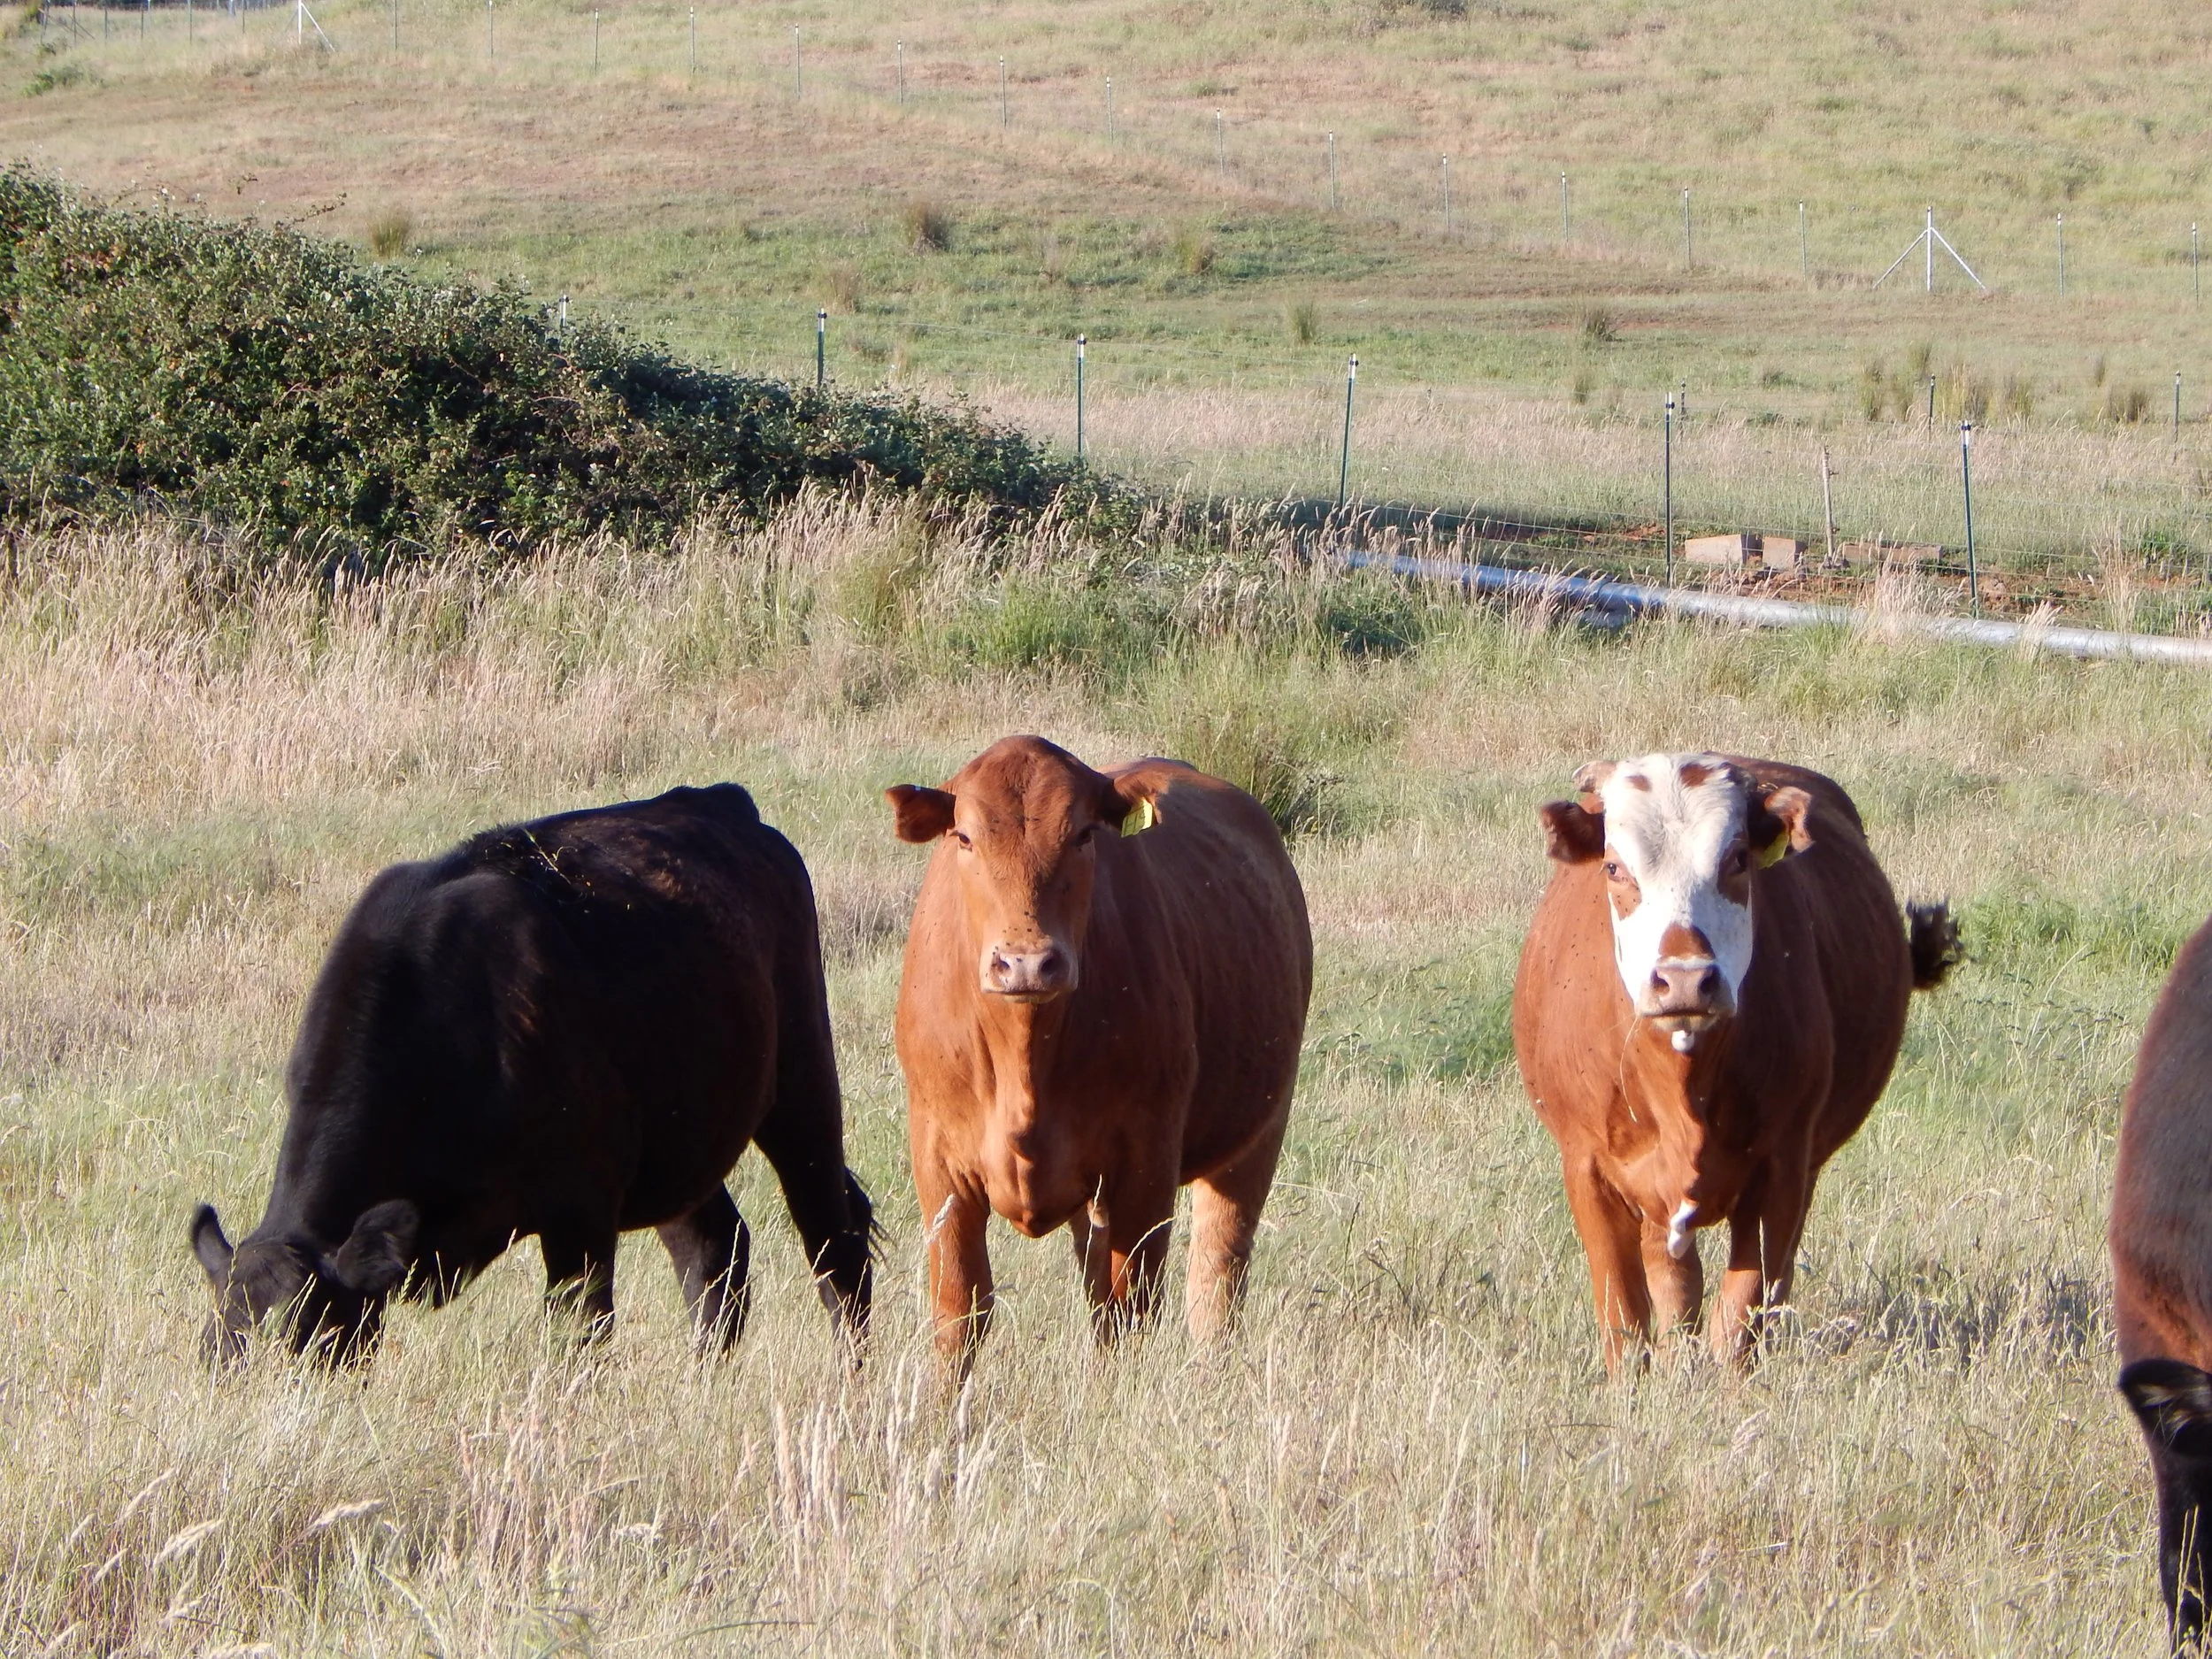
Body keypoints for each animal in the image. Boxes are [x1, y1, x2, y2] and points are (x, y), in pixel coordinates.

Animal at [188, 783, 874, 1366]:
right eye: (216, 1358)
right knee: (714, 1250)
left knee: (834, 1242)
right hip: (685, 1134)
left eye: (310, 1346)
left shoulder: (583, 1209)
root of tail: (723, 803)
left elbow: (580, 1331)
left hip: (804, 1087)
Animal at [885, 735, 1312, 1376]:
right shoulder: (939, 1164)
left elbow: (1131, 1310)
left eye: (1083, 834)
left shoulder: (1144, 1164)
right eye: (964, 836)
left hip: (1258, 1131)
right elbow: (959, 1315)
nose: (1027, 962)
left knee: (1216, 1276)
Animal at [1511, 752, 1957, 1373]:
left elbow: (1741, 1314)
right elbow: (1625, 1319)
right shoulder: (1588, 1168)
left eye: (1738, 859)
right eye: (1614, 868)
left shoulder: (1782, 1168)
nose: (1684, 979)